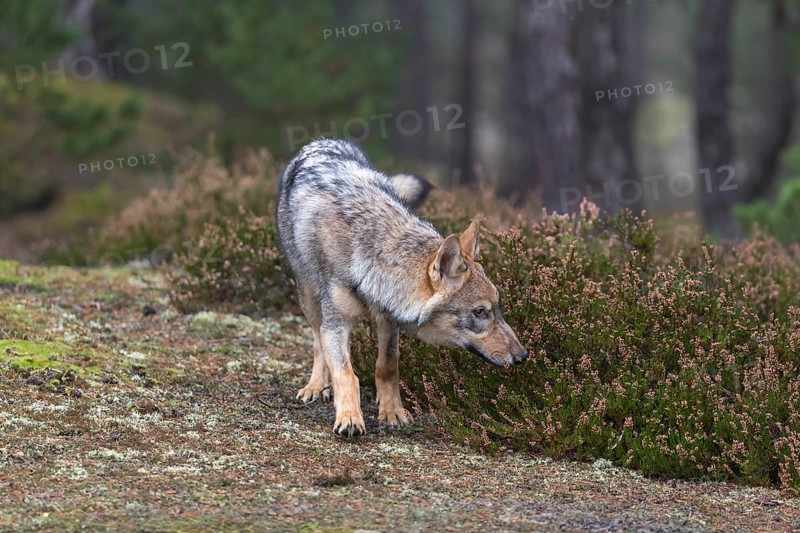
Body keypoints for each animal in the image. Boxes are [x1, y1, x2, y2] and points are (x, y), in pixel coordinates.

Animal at [277, 139, 527, 437]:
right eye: (479, 312)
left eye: (497, 307)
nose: (523, 356)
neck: (368, 255)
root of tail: (323, 142)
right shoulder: (336, 324)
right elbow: (346, 373)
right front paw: (350, 417)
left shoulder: (388, 320)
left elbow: (387, 366)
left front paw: (392, 411)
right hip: (310, 298)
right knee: (317, 342)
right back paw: (316, 387)